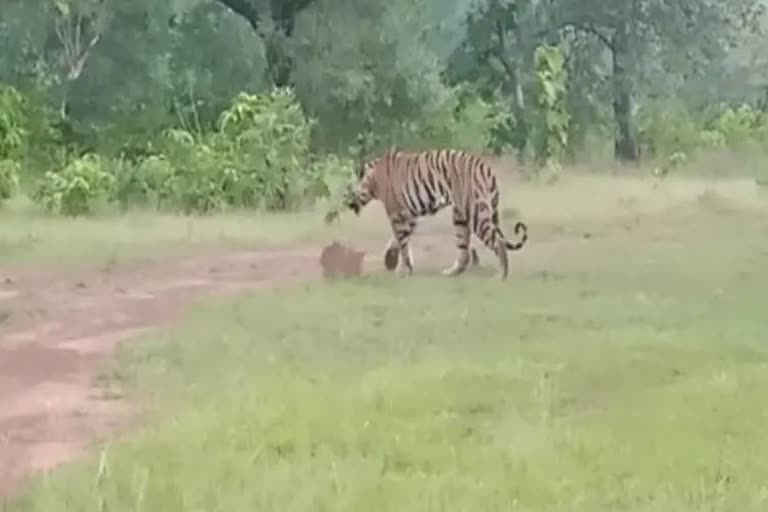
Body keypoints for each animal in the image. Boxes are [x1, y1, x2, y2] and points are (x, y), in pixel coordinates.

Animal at [342, 147, 528, 280]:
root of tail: (486, 168)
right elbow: (400, 240)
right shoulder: (409, 215)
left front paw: (403, 270)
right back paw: (451, 273)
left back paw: (501, 275)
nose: (347, 203)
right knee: (464, 251)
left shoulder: (396, 213)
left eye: (347, 191)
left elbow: (402, 242)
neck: (373, 181)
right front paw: (393, 260)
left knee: (498, 242)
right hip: (460, 216)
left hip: (475, 211)